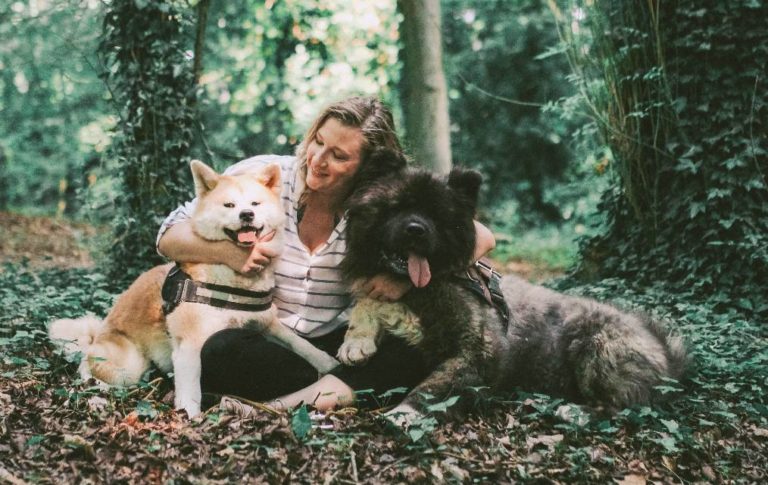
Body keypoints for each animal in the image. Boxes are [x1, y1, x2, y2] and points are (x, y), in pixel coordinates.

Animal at [48, 160, 336, 416]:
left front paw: (327, 361)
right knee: (88, 366)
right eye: (229, 205)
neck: (231, 279)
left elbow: (299, 343)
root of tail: (99, 333)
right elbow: (190, 388)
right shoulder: (191, 344)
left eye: (255, 203)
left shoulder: (266, 323)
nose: (247, 214)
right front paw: (189, 415)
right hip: (126, 367)